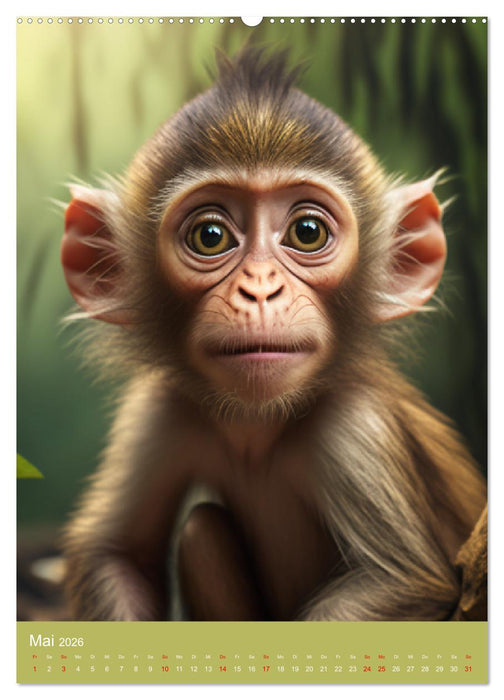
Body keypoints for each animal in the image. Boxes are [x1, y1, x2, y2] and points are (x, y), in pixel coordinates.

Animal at [60, 47, 486, 622]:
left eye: (307, 232)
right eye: (210, 236)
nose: (260, 289)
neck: (258, 429)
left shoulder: (357, 428)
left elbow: (402, 581)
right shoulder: (159, 408)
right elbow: (117, 554)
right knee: (201, 529)